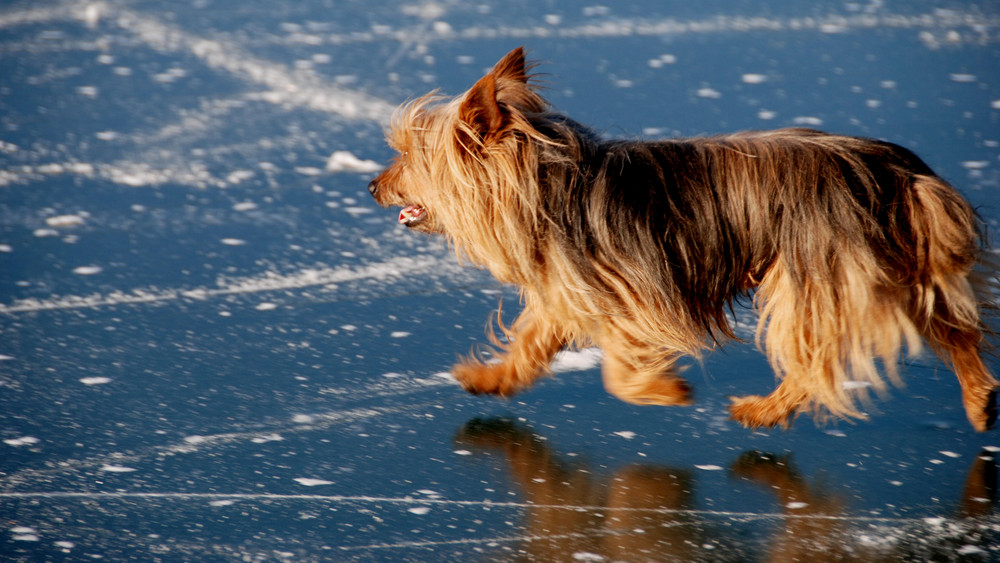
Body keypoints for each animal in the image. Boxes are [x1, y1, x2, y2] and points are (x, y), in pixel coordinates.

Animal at [370, 47, 1000, 432]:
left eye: (408, 156)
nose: (372, 185)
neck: (547, 187)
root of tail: (896, 171)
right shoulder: (569, 288)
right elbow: (532, 338)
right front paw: (492, 378)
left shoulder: (640, 294)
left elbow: (620, 366)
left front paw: (664, 390)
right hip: (900, 266)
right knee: (954, 331)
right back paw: (980, 399)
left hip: (811, 277)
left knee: (813, 357)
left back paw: (764, 411)